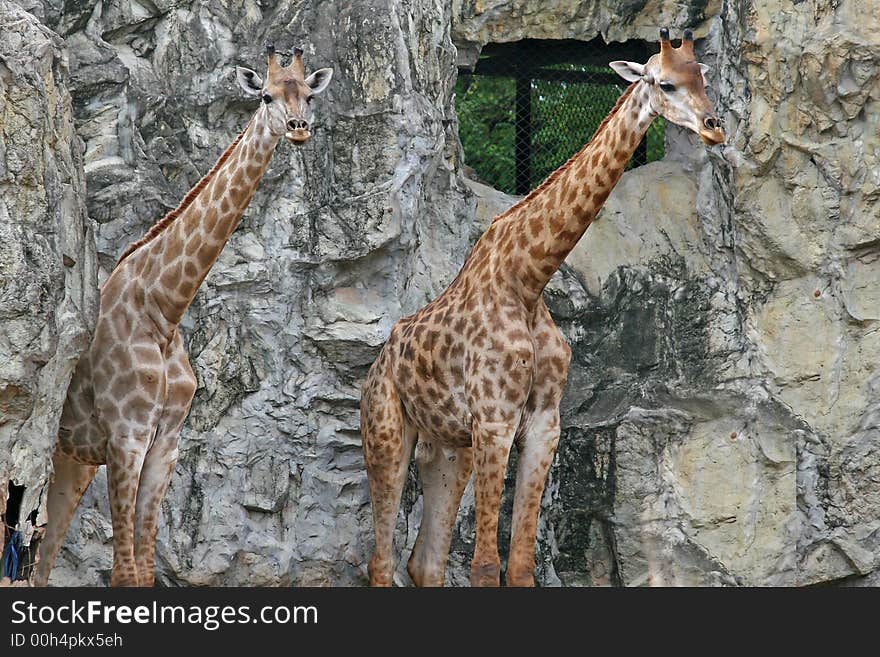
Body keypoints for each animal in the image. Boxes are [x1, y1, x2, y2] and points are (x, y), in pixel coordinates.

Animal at [33, 47, 334, 588]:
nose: (298, 128)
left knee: (42, 563)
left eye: (308, 93)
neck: (164, 310)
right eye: (265, 95)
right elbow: (125, 571)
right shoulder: (127, 436)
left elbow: (144, 569)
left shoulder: (165, 444)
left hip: (72, 459)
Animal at [360, 28, 724, 588]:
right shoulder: (494, 419)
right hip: (387, 433)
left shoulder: (543, 422)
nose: (714, 129)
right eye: (665, 83)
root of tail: (374, 368)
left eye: (703, 77)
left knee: (425, 562)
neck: (528, 282)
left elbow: (522, 565)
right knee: (381, 561)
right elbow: (486, 566)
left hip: (447, 448)